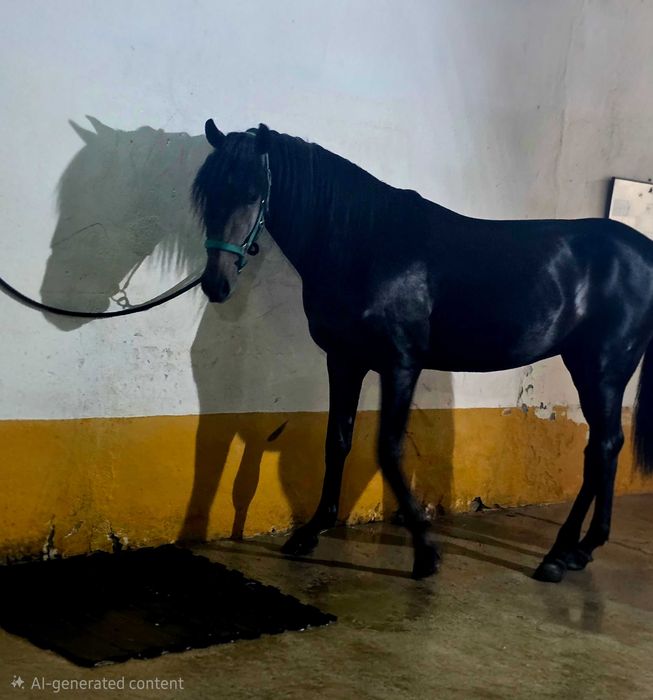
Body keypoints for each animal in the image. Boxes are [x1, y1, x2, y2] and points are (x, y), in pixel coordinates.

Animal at [192, 119, 653, 583]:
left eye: (254, 193)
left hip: (601, 370)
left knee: (603, 447)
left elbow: (388, 448)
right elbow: (337, 441)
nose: (216, 283)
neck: (366, 244)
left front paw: (426, 552)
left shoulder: (400, 365)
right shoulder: (344, 361)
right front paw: (311, 531)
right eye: (208, 194)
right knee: (604, 448)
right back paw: (580, 550)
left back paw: (560, 555)